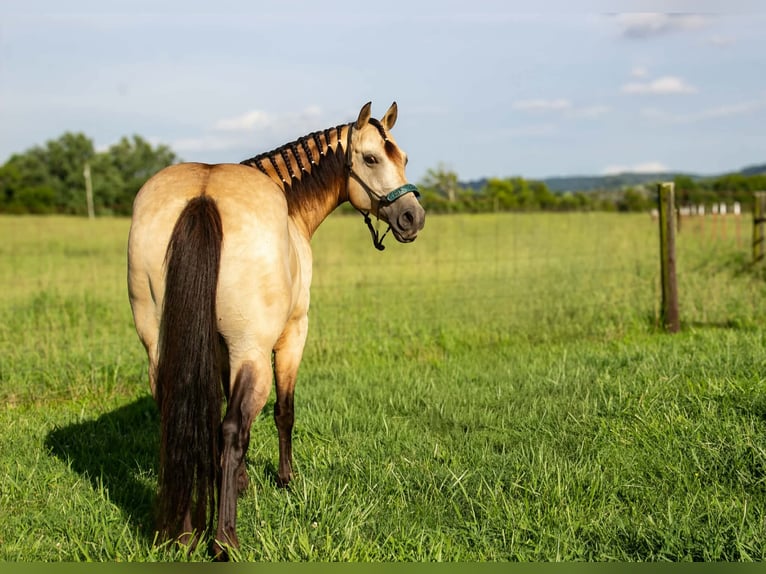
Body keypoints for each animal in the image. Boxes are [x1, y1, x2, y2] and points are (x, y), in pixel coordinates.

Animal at [127, 102, 425, 557]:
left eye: (404, 158)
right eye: (372, 158)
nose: (413, 217)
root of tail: (203, 195)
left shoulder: (218, 350)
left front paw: (238, 483)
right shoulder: (292, 335)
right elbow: (283, 412)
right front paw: (285, 479)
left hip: (161, 349)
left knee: (180, 418)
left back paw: (183, 532)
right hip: (253, 352)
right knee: (234, 428)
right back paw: (224, 540)